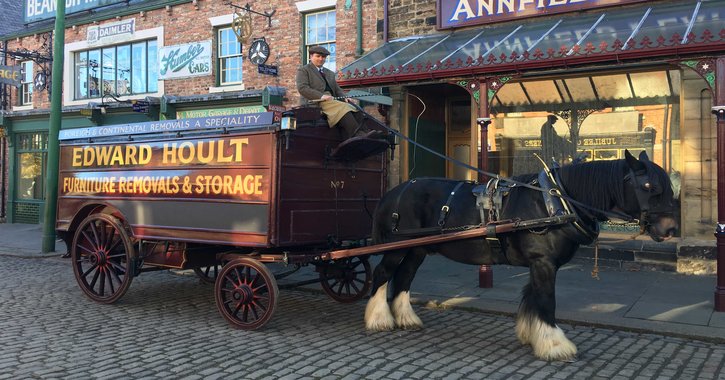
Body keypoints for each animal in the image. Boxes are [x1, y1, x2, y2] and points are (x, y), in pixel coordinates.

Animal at [368, 150, 680, 360]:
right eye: (649, 187)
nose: (670, 228)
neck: (555, 202)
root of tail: (392, 192)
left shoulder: (539, 262)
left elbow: (532, 298)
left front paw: (533, 336)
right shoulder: (543, 262)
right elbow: (546, 300)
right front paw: (555, 345)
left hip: (416, 249)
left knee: (404, 277)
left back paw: (406, 318)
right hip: (396, 246)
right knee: (382, 273)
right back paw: (379, 319)